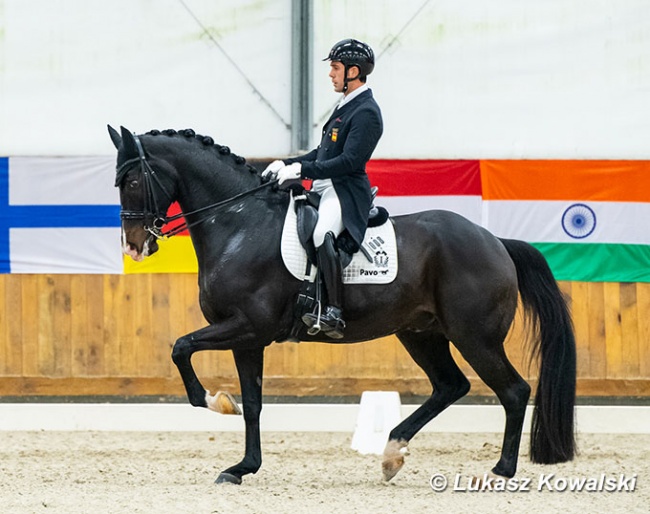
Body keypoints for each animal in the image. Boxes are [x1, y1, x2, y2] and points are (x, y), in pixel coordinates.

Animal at [109, 125, 576, 484]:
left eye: (131, 182)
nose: (134, 247)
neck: (239, 223)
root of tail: (496, 241)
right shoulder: (246, 338)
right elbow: (253, 403)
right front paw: (242, 466)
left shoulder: (247, 326)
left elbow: (181, 347)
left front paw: (214, 401)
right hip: (420, 333)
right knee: (450, 386)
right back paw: (392, 453)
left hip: (475, 337)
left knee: (513, 391)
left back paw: (501, 470)